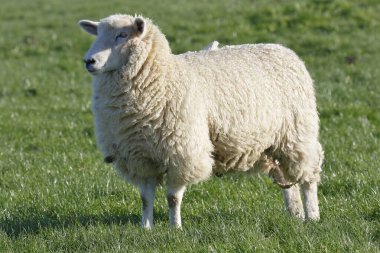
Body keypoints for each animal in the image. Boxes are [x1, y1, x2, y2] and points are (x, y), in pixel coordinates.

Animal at [78, 14, 324, 230]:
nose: (89, 61)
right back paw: (294, 213)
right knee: (287, 180)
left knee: (308, 178)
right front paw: (145, 228)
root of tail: (282, 49)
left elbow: (172, 198)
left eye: (122, 35)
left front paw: (175, 228)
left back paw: (312, 216)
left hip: (297, 134)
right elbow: (145, 198)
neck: (164, 78)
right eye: (97, 34)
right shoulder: (140, 156)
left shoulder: (182, 152)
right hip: (271, 144)